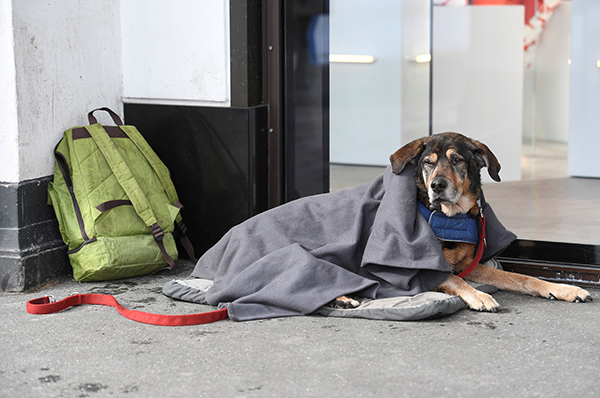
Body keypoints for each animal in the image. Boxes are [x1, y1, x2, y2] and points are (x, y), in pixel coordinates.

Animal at [338, 132, 592, 312]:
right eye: (428, 163)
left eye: (457, 160)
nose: (437, 185)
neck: (450, 218)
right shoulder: (421, 273)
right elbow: (452, 279)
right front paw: (479, 295)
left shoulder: (467, 265)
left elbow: (520, 277)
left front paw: (562, 288)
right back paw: (342, 298)